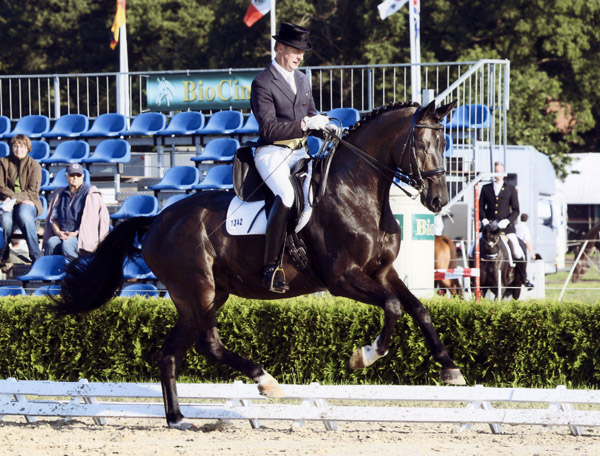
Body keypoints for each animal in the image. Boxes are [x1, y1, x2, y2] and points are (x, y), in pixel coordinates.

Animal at [51, 99, 466, 428]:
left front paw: (450, 368)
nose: (436, 199)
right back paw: (265, 381)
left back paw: (179, 419)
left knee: (170, 354)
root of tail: (156, 220)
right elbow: (394, 307)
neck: (356, 192)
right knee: (208, 343)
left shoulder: (383, 272)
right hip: (199, 289)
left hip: (198, 296)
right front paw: (363, 357)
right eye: (422, 144)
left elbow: (419, 308)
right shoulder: (343, 278)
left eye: (445, 143)